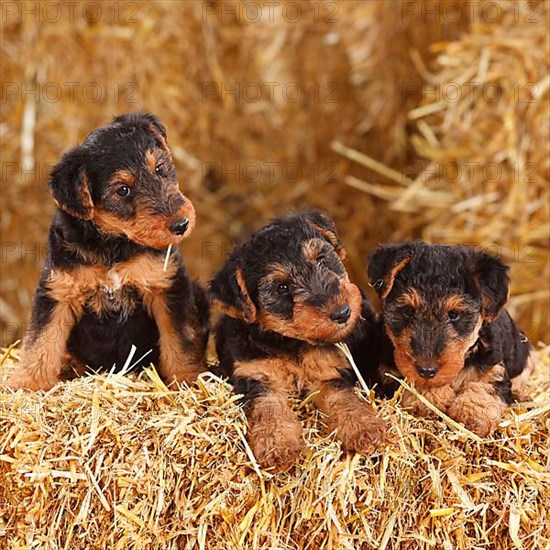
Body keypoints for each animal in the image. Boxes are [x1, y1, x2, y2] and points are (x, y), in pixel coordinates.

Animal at [209, 213, 386, 472]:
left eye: (321, 258)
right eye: (282, 287)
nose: (342, 312)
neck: (291, 343)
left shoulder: (330, 372)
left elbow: (342, 399)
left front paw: (364, 428)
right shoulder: (257, 376)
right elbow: (268, 408)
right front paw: (278, 446)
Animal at [364, 244, 532, 438]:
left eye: (454, 314)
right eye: (408, 311)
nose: (426, 371)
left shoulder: (493, 368)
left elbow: (484, 388)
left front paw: (472, 414)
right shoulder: (388, 371)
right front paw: (432, 397)